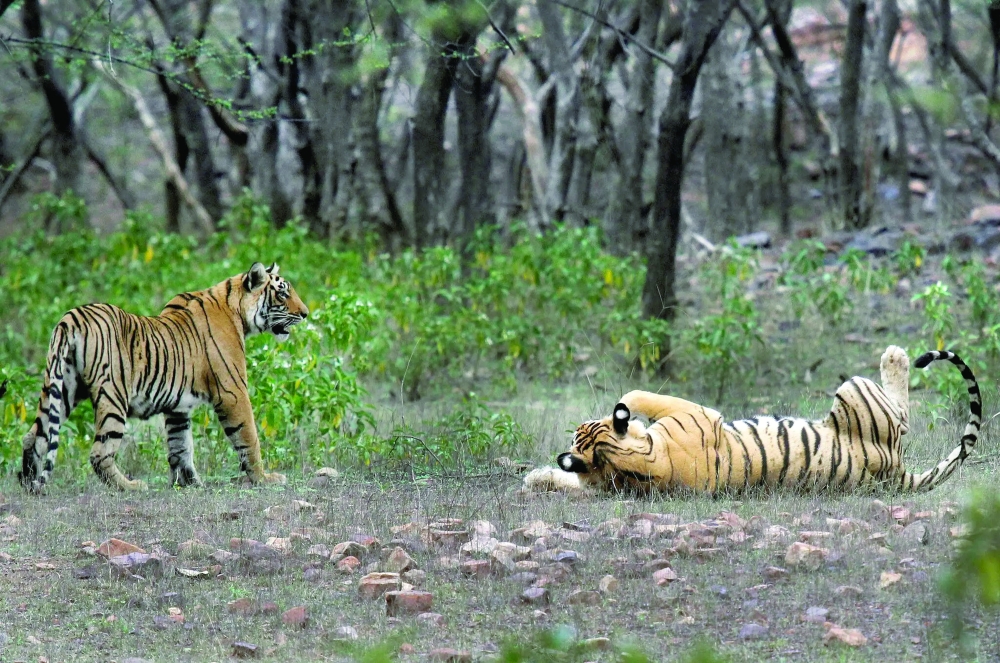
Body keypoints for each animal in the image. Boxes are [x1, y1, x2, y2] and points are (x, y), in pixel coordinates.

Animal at [18, 262, 308, 493]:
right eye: (283, 293)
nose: (305, 313)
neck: (236, 310)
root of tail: (72, 317)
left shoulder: (178, 407)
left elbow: (181, 446)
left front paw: (189, 483)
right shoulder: (232, 392)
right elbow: (248, 437)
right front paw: (264, 478)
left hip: (62, 387)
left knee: (34, 436)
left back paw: (29, 483)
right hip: (112, 395)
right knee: (100, 452)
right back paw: (131, 486)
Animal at [524, 346, 980, 495]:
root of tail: (897, 472)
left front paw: (536, 477)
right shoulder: (695, 412)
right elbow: (637, 396)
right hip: (854, 389)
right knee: (902, 414)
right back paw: (895, 356)